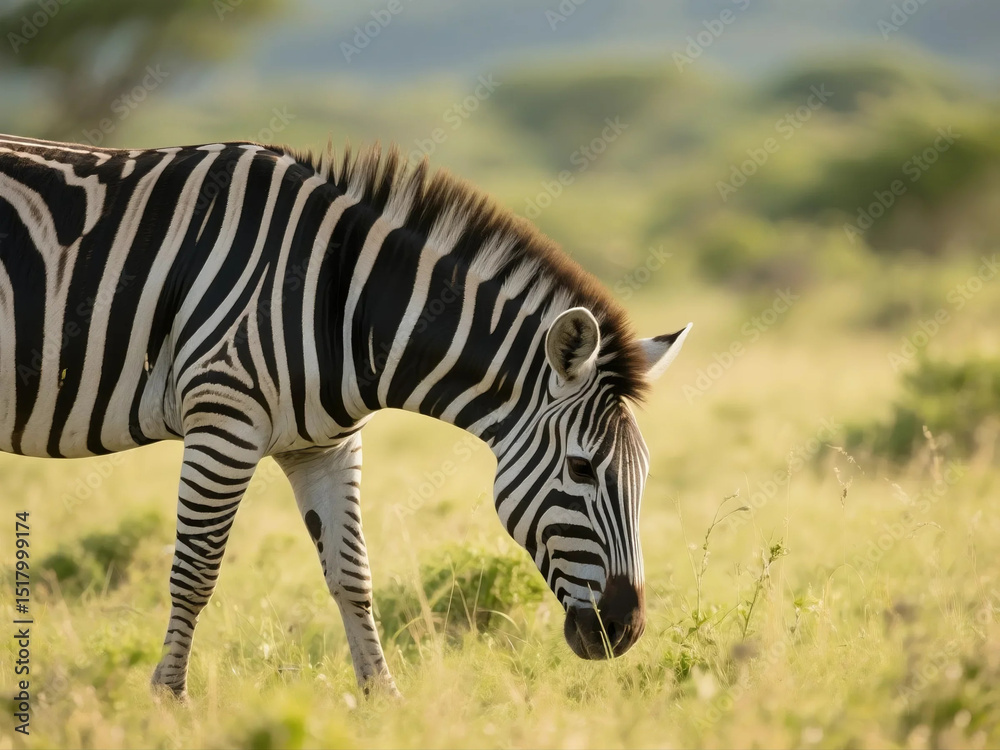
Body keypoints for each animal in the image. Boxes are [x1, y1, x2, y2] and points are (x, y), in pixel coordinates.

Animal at [0, 133, 692, 699]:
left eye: (646, 477)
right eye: (581, 468)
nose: (624, 631)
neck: (341, 302)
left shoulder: (325, 446)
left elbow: (352, 574)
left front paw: (383, 701)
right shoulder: (223, 419)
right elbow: (194, 573)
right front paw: (169, 703)